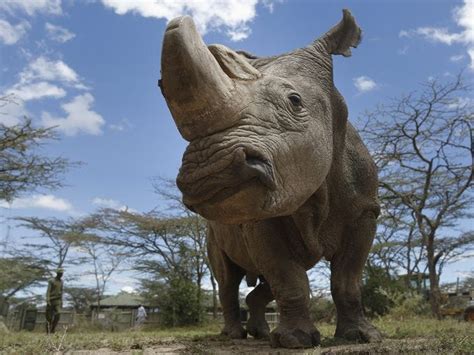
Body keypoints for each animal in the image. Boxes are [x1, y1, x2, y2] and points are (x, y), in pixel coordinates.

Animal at [159, 9, 382, 350]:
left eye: (295, 101)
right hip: (214, 231)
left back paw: (260, 334)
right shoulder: (258, 217)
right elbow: (288, 278)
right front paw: (295, 341)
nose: (208, 174)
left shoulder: (365, 211)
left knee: (261, 284)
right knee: (228, 278)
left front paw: (361, 336)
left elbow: (347, 279)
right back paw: (234, 335)